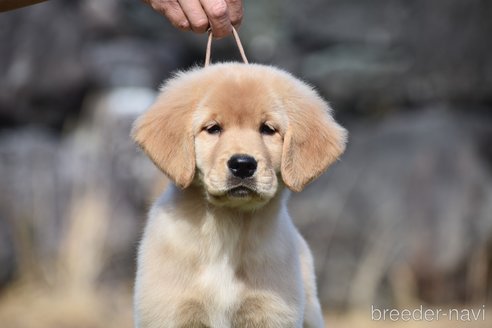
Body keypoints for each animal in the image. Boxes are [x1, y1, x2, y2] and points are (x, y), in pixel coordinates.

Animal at [131, 62, 346, 326]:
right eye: (213, 128)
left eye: (268, 129)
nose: (243, 165)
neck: (227, 228)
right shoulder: (169, 312)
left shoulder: (272, 312)